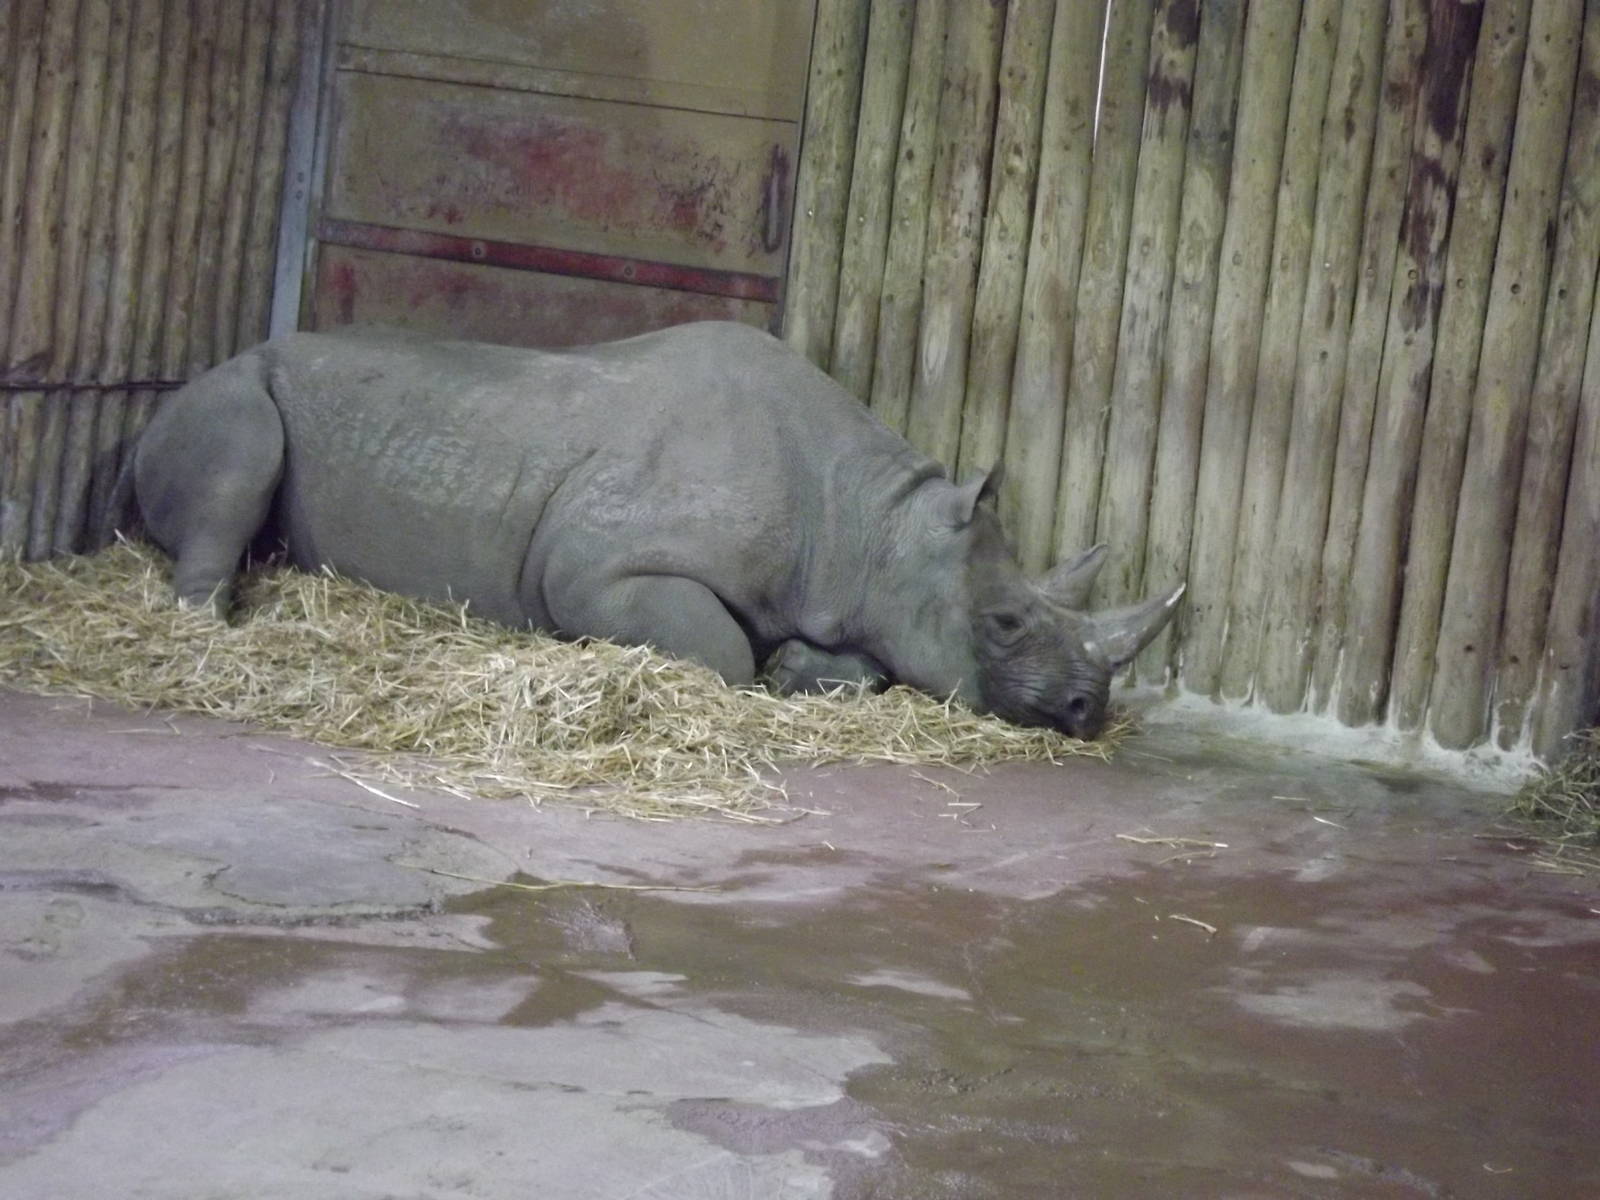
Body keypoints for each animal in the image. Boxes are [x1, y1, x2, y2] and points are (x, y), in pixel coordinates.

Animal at [132, 321, 1182, 739]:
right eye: (1005, 622)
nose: (1089, 711)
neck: (869, 523)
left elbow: (859, 662)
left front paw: (803, 670)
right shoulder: (597, 566)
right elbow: (718, 652)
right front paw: (769, 672)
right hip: (231, 391)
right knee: (238, 451)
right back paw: (218, 635)